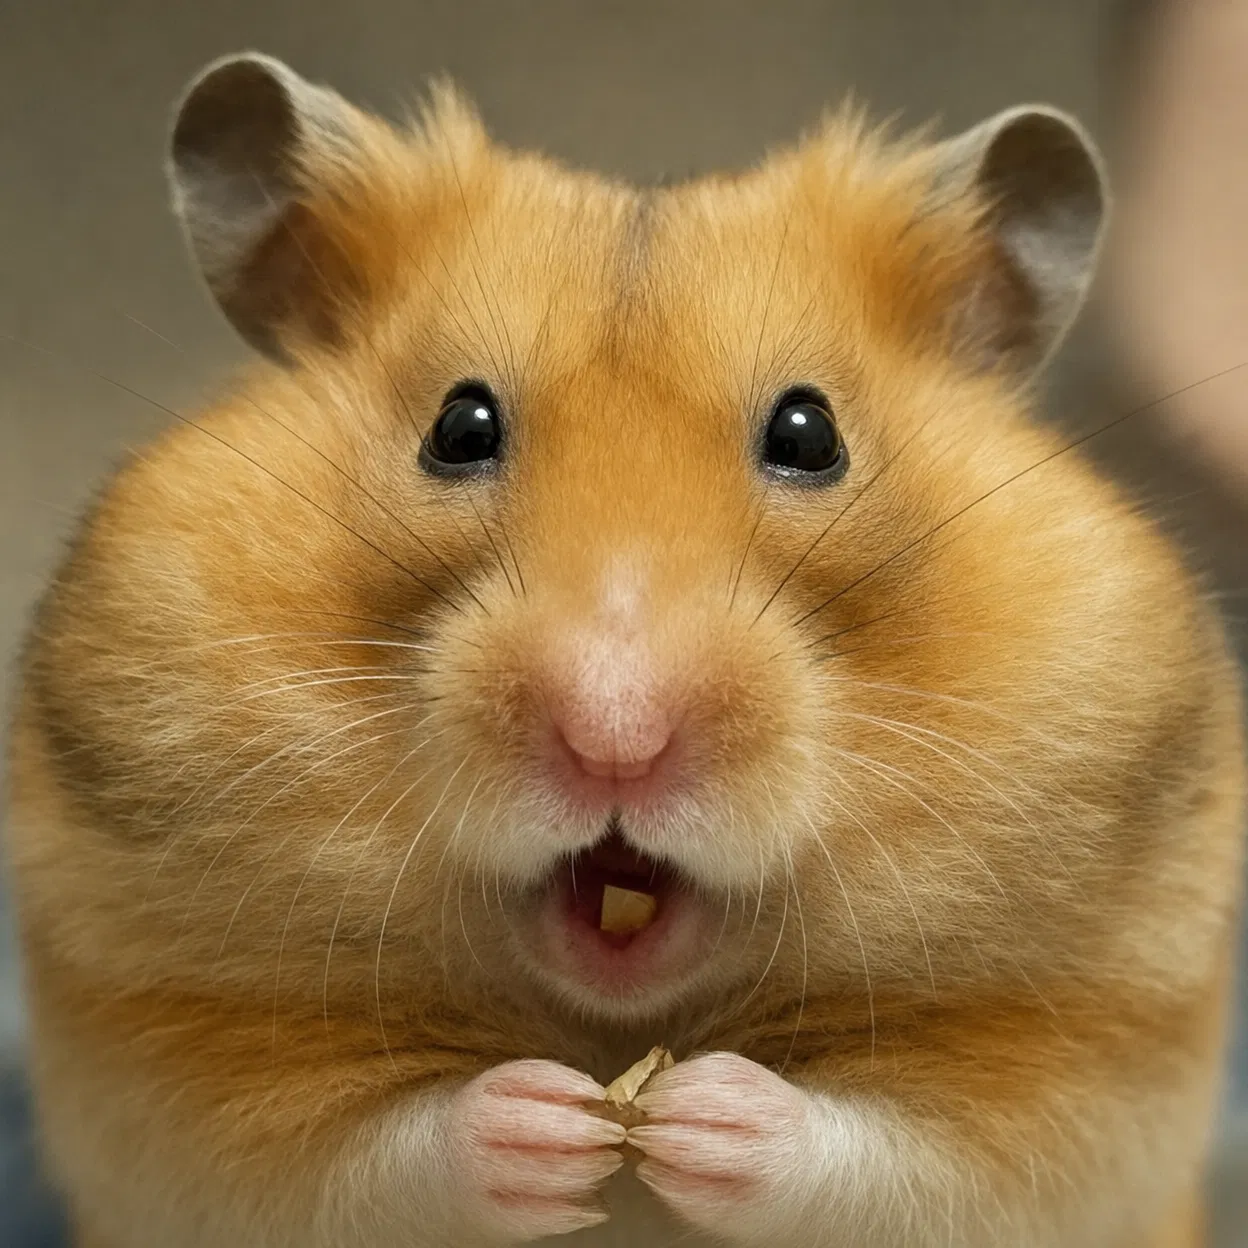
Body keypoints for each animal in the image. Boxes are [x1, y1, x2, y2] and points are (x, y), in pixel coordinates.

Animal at [4, 50, 1244, 1248]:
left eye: (812, 434)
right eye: (458, 427)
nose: (615, 735)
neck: (615, 1022)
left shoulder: (1091, 1070)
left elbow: (904, 1161)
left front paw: (703, 1114)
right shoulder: (162, 1069)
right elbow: (360, 1157)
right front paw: (549, 1122)